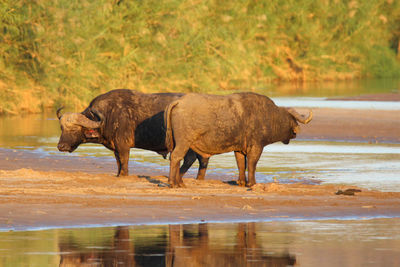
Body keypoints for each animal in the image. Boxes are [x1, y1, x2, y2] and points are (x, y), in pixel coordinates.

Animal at [57, 89, 208, 178]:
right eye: (62, 128)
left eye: (75, 129)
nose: (61, 146)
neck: (109, 115)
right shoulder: (116, 148)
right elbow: (118, 163)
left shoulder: (123, 146)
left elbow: (124, 162)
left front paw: (123, 175)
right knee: (202, 160)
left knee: (190, 159)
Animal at [166, 92, 312, 188]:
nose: (295, 133)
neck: (269, 116)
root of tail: (179, 102)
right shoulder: (256, 147)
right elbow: (252, 164)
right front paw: (252, 183)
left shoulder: (239, 149)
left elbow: (241, 164)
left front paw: (242, 182)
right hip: (183, 143)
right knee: (176, 157)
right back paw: (173, 183)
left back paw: (179, 182)